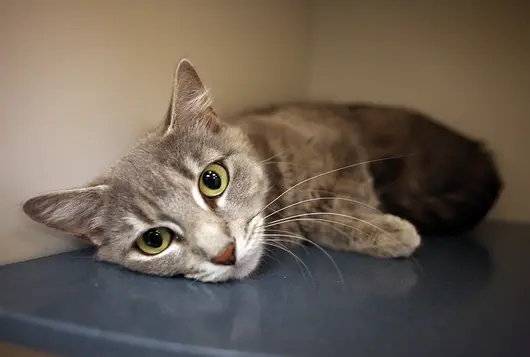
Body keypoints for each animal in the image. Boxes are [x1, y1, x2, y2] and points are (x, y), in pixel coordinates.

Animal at [21, 57, 500, 280]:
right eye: (153, 241)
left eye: (212, 180)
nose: (224, 253)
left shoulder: (342, 143)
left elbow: (342, 199)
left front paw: (384, 228)